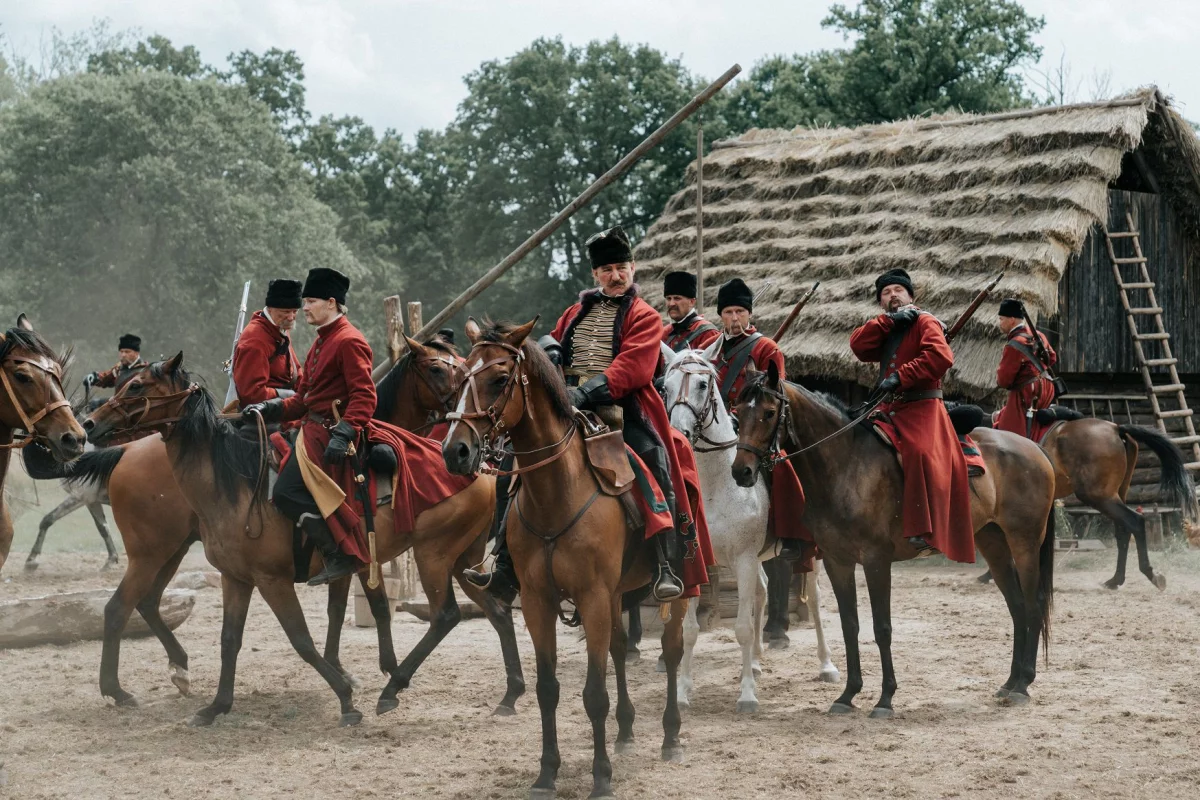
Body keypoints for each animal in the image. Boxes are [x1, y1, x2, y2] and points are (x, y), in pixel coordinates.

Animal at [441, 319, 691, 800]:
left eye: (500, 378)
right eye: (459, 377)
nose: (455, 451)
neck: (558, 492)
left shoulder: (591, 597)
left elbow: (593, 695)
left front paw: (601, 777)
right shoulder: (539, 602)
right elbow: (547, 688)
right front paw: (546, 773)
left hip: (683, 587)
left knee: (671, 652)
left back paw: (670, 737)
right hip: (614, 595)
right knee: (617, 648)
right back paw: (626, 731)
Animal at [662, 345, 840, 714]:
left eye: (702, 384)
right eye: (666, 387)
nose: (678, 435)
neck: (716, 484)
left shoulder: (743, 559)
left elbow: (742, 627)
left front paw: (746, 695)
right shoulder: (700, 561)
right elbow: (689, 630)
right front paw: (683, 692)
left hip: (809, 556)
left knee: (814, 600)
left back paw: (826, 664)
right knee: (762, 590)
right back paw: (756, 661)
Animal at [734, 362, 1056, 714]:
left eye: (768, 413)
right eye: (737, 411)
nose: (741, 471)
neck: (845, 464)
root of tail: (1034, 448)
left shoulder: (877, 559)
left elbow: (882, 627)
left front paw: (885, 698)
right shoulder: (837, 561)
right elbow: (850, 625)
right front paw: (848, 694)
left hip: (1025, 540)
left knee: (1033, 602)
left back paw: (1023, 683)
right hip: (992, 541)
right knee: (1016, 605)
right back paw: (1011, 681)